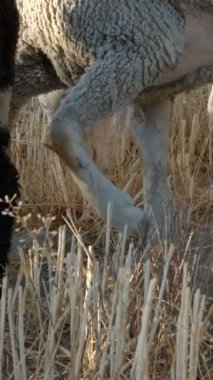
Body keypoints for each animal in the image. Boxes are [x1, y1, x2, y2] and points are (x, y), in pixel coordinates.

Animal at [11, 0, 213, 240]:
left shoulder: (137, 50)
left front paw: (131, 220)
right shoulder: (151, 84)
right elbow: (155, 178)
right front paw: (157, 239)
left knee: (60, 129)